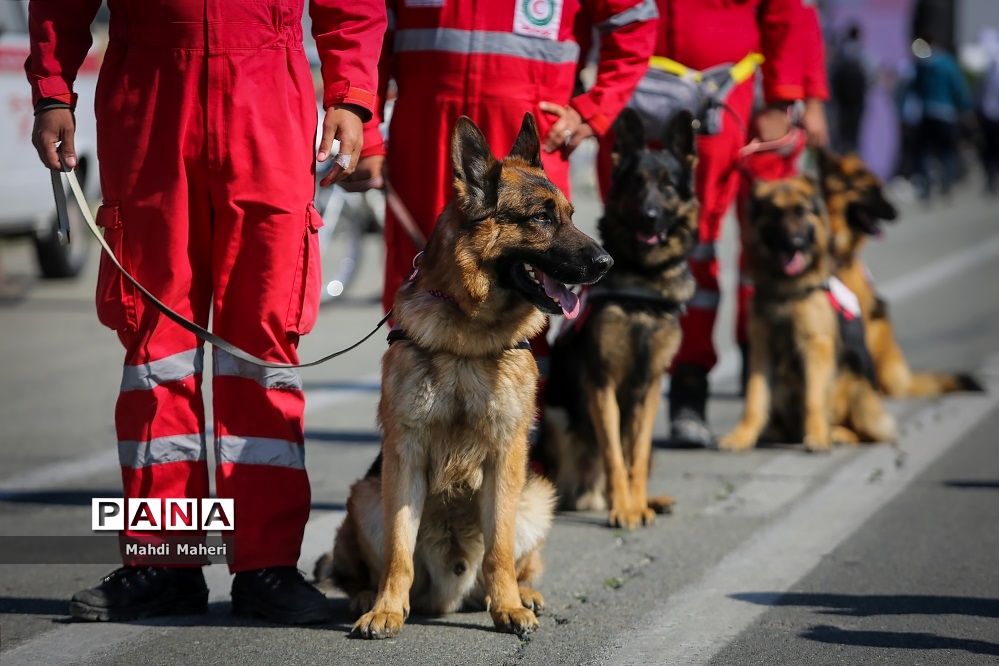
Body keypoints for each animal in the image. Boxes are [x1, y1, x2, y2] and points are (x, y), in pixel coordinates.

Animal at [324, 115, 612, 640]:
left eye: (571, 215)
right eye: (542, 219)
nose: (607, 263)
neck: (470, 337)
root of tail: (452, 593)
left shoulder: (506, 455)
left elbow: (499, 549)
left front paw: (509, 607)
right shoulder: (406, 454)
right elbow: (398, 551)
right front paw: (386, 610)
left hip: (536, 496)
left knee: (518, 561)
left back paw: (524, 594)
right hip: (367, 496)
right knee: (362, 566)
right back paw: (366, 595)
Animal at [540, 107, 696, 524]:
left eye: (667, 185)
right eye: (636, 184)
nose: (650, 216)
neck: (643, 277)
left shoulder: (651, 385)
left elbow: (634, 453)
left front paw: (637, 504)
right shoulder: (602, 383)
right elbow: (613, 453)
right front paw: (625, 509)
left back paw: (650, 500)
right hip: (556, 416)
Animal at [724, 174, 896, 448]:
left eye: (802, 212)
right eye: (776, 213)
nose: (795, 243)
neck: (785, 290)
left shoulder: (816, 344)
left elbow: (813, 398)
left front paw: (816, 436)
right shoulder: (761, 349)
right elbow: (754, 396)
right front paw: (742, 435)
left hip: (855, 378)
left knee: (861, 429)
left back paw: (835, 433)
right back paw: (773, 432)